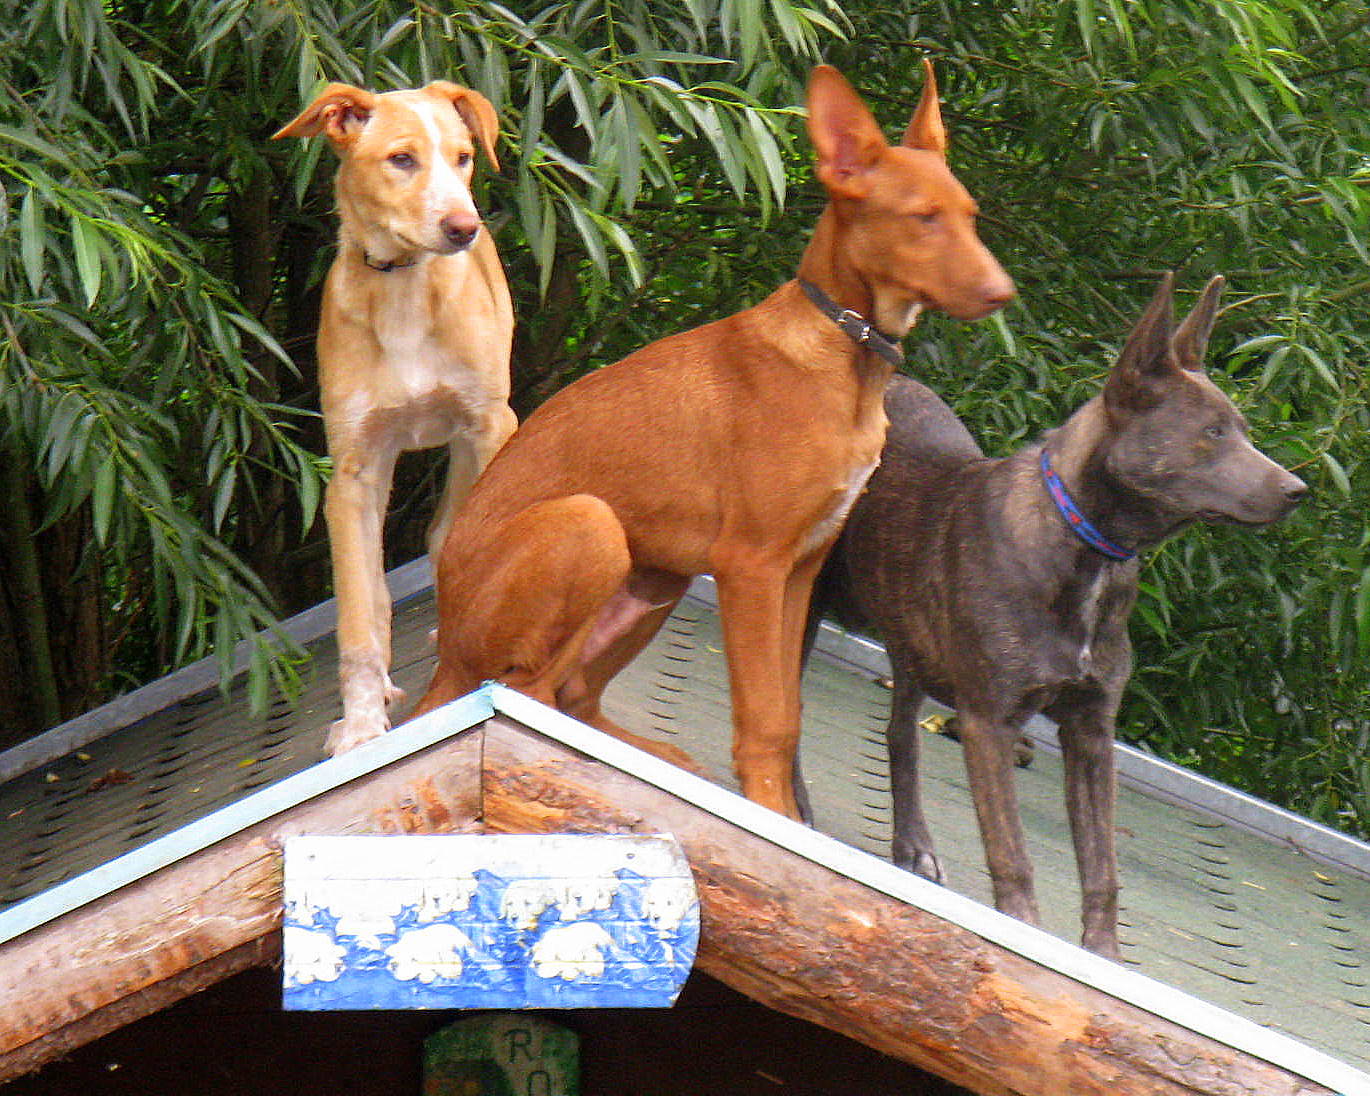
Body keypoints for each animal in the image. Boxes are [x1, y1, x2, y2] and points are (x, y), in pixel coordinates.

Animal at [274, 82, 518, 755]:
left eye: (463, 158)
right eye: (401, 159)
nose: (464, 228)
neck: (404, 290)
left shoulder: (489, 426)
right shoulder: (353, 471)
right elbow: (359, 612)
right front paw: (360, 724)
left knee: (445, 535)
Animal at [410, 62, 1014, 819]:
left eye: (970, 217)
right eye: (922, 218)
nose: (1003, 292)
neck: (847, 358)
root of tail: (444, 652)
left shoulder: (802, 567)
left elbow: (787, 715)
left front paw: (779, 817)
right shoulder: (751, 563)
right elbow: (762, 717)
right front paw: (771, 815)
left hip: (657, 575)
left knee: (571, 693)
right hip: (590, 525)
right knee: (525, 693)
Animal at [804, 273, 1306, 956]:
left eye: (1243, 429)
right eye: (1212, 433)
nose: (1298, 492)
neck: (1089, 550)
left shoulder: (1091, 731)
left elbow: (1102, 869)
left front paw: (1103, 957)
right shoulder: (989, 721)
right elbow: (1012, 850)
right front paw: (1024, 931)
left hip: (912, 642)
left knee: (900, 735)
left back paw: (914, 844)